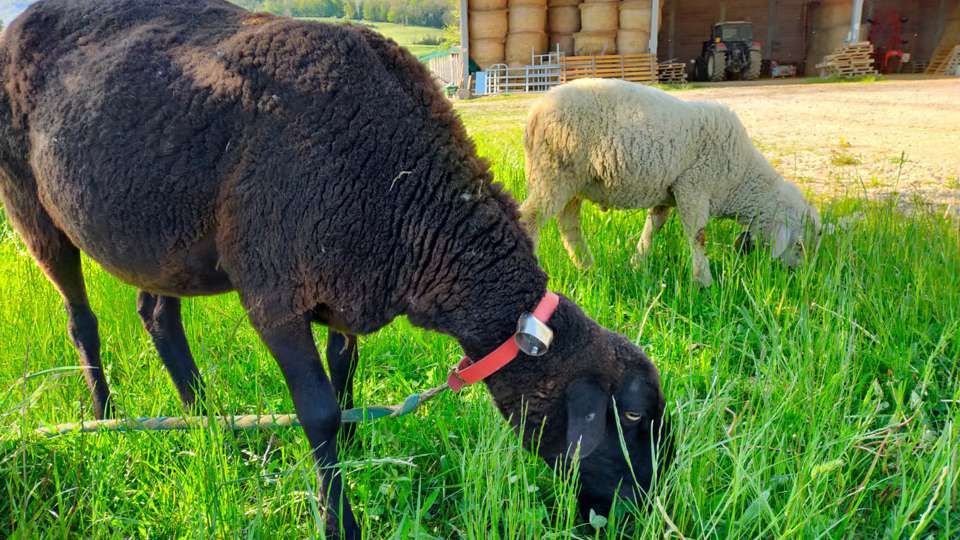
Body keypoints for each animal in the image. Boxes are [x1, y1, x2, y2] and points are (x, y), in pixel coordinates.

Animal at [1, 1, 668, 536]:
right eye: (633, 414)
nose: (640, 513)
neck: (407, 196)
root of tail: (23, 19)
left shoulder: (349, 289)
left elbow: (344, 375)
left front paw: (353, 450)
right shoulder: (275, 294)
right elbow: (318, 409)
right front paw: (338, 519)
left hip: (166, 239)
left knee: (157, 314)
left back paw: (208, 424)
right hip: (31, 204)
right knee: (81, 319)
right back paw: (105, 419)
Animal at [520, 77, 820, 286]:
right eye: (799, 245)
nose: (797, 275)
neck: (741, 180)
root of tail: (535, 112)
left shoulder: (668, 193)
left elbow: (654, 226)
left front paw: (637, 262)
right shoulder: (693, 187)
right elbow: (698, 235)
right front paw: (704, 282)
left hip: (574, 182)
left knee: (568, 224)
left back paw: (586, 266)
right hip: (554, 173)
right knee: (530, 218)